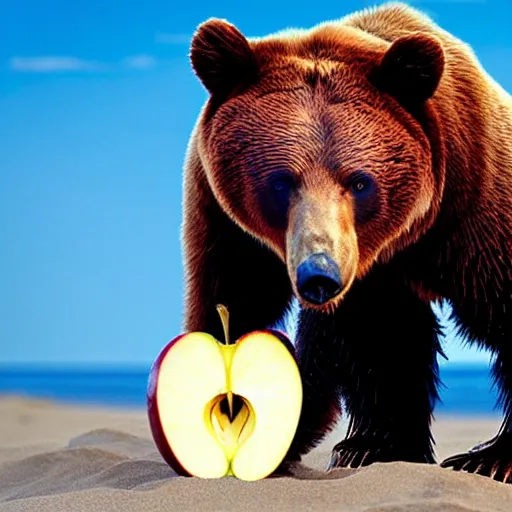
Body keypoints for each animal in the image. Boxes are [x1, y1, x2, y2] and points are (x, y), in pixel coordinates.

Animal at [179, 0, 512, 482]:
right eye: (280, 182)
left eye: (359, 182)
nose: (319, 274)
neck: (408, 239)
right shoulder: (230, 229)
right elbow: (377, 340)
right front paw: (371, 447)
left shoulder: (478, 211)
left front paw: (489, 459)